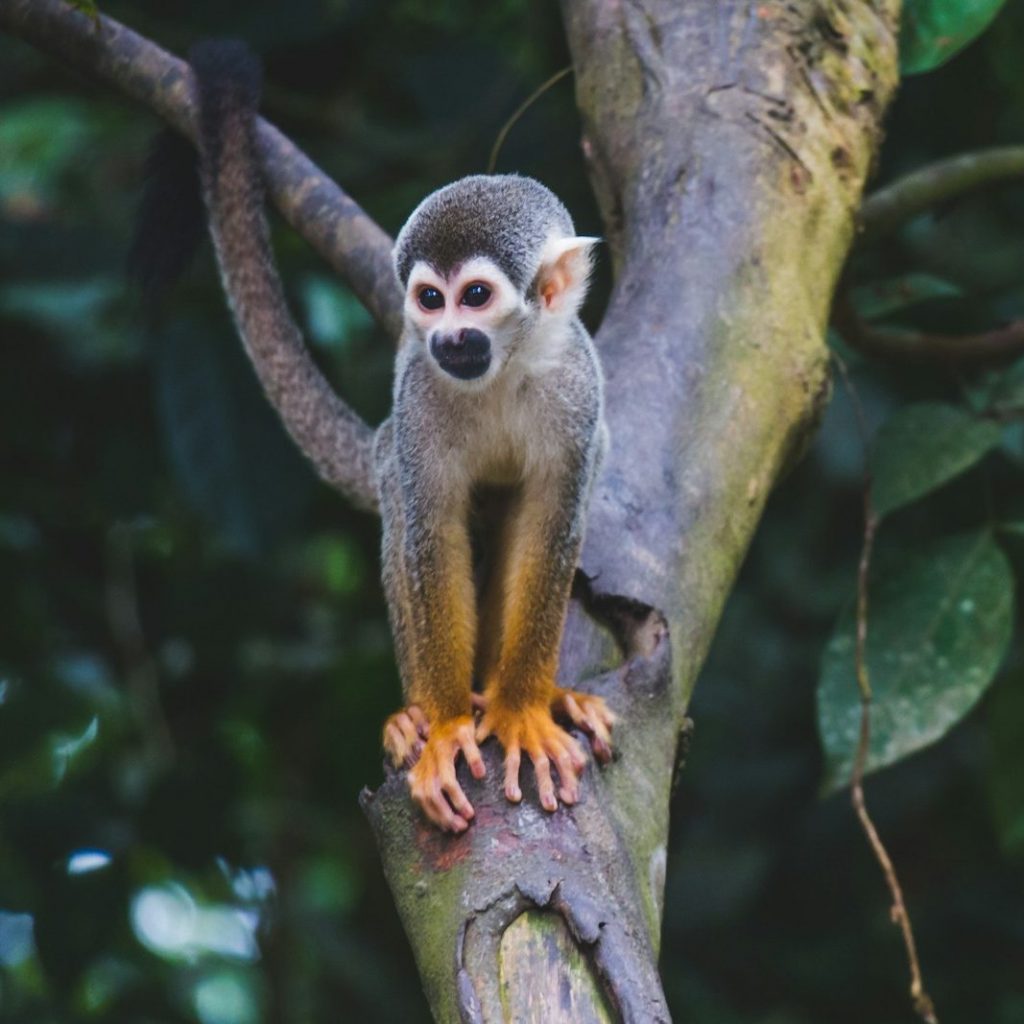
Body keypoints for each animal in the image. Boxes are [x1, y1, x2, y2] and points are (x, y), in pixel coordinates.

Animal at [170, 41, 614, 834]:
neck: (503, 369)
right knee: (404, 505)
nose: (447, 338)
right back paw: (416, 717)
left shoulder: (577, 389)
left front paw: (524, 710)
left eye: (476, 297)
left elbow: (553, 520)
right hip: (393, 440)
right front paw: (446, 729)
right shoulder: (418, 397)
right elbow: (430, 531)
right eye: (430, 300)